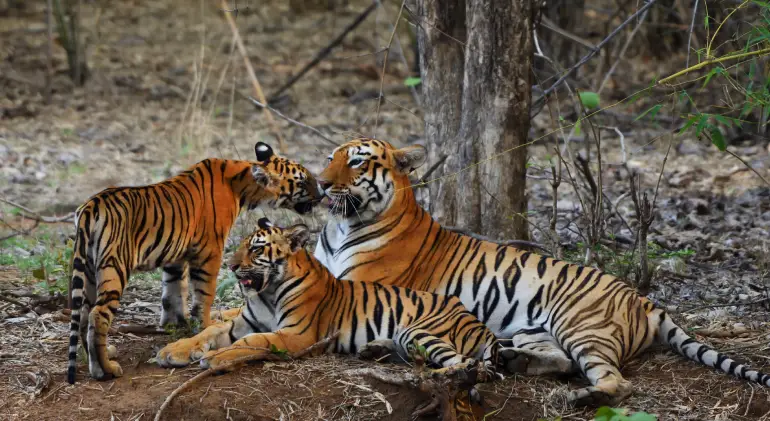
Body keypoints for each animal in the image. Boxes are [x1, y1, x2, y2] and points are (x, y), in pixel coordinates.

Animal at [64, 142, 320, 384]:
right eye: (303, 180)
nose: (322, 192)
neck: (243, 185)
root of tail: (89, 207)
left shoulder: (175, 258)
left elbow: (173, 293)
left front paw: (175, 324)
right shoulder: (210, 251)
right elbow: (204, 295)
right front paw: (202, 324)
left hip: (88, 269)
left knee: (84, 313)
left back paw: (100, 357)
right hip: (113, 266)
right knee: (98, 315)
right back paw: (105, 370)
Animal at [154, 218, 498, 382]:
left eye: (256, 249)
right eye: (239, 246)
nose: (231, 266)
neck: (269, 291)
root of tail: (472, 317)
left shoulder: (296, 334)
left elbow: (255, 341)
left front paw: (215, 358)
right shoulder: (242, 323)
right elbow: (209, 330)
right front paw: (173, 351)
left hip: (421, 331)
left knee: (467, 363)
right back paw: (375, 350)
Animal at [312, 139, 768, 406]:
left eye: (356, 162)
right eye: (329, 158)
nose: (319, 183)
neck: (340, 227)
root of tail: (643, 299)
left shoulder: (354, 289)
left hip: (581, 325)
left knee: (615, 381)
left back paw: (581, 399)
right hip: (534, 328)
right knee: (561, 361)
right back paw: (517, 362)